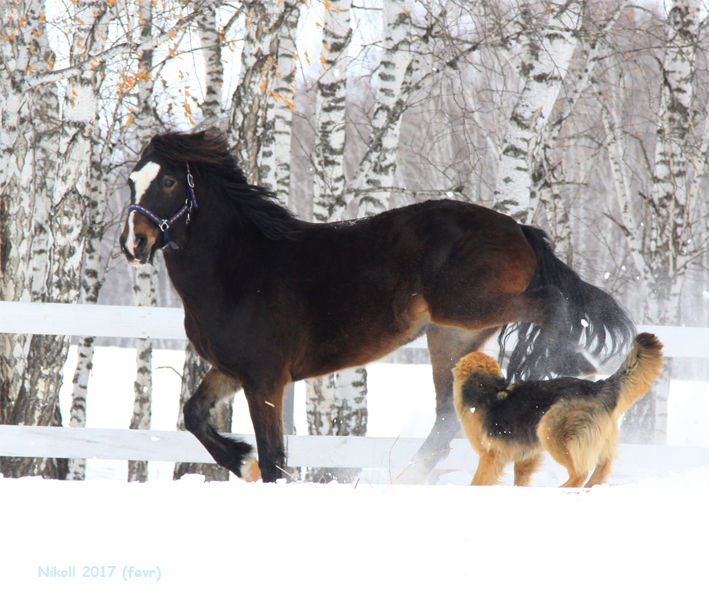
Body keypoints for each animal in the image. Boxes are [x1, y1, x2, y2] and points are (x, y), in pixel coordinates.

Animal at [119, 132, 632, 484]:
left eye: (168, 180)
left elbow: (273, 456)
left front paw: (252, 464)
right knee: (447, 417)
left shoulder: (265, 377)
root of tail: (519, 228)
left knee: (550, 305)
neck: (241, 267)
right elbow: (194, 415)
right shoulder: (232, 370)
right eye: (131, 181)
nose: (133, 243)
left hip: (469, 307)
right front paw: (239, 459)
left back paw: (562, 365)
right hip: (449, 336)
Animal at [454, 332, 664, 486]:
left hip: (552, 432)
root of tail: (599, 386)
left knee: (579, 473)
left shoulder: (491, 455)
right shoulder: (526, 456)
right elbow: (521, 479)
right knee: (601, 469)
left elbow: (478, 481)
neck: (487, 388)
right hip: (597, 439)